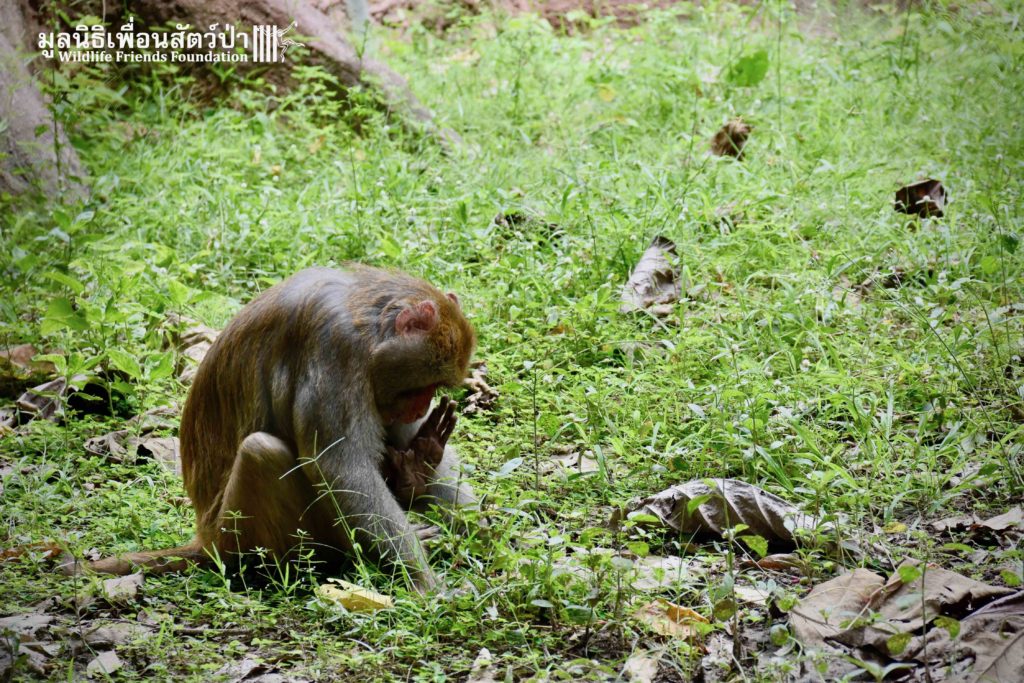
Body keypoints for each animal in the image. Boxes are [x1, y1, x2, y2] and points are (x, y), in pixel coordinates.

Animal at [76, 266, 477, 593]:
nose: (420, 407)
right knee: (260, 452)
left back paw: (418, 470)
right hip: (239, 534)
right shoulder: (337, 348)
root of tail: (206, 539)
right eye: (422, 386)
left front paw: (481, 529)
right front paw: (424, 581)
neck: (363, 315)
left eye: (432, 389)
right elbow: (341, 469)